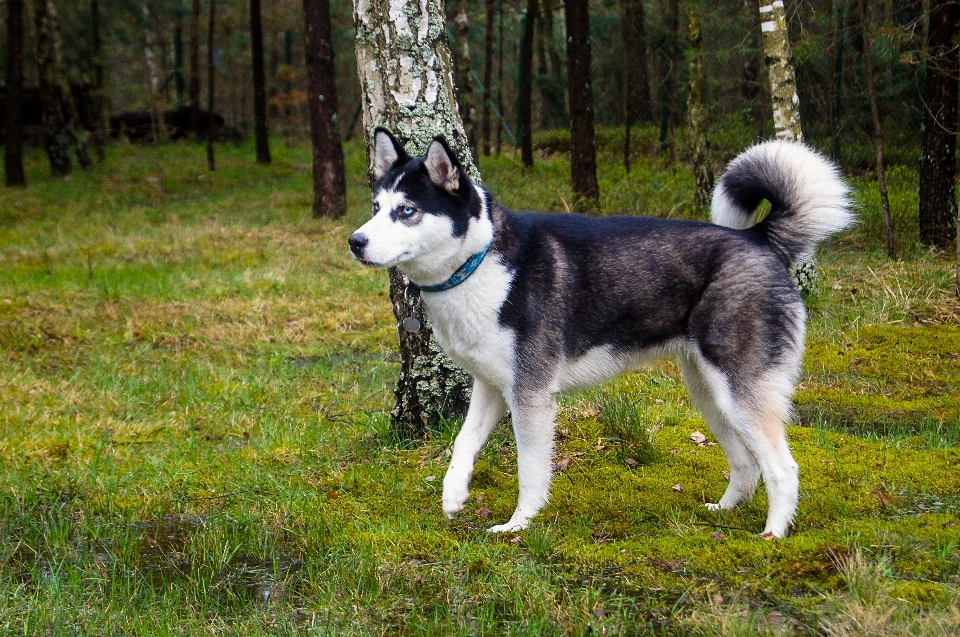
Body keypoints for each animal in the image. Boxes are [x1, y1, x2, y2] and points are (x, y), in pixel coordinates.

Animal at [348, 129, 852, 536]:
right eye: (375, 208)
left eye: (407, 211)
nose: (355, 241)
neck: (479, 261)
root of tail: (758, 238)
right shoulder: (492, 386)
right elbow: (462, 444)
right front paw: (454, 495)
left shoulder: (530, 394)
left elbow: (531, 470)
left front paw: (519, 525)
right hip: (707, 391)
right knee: (746, 463)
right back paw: (723, 510)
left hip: (738, 390)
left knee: (783, 467)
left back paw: (773, 535)